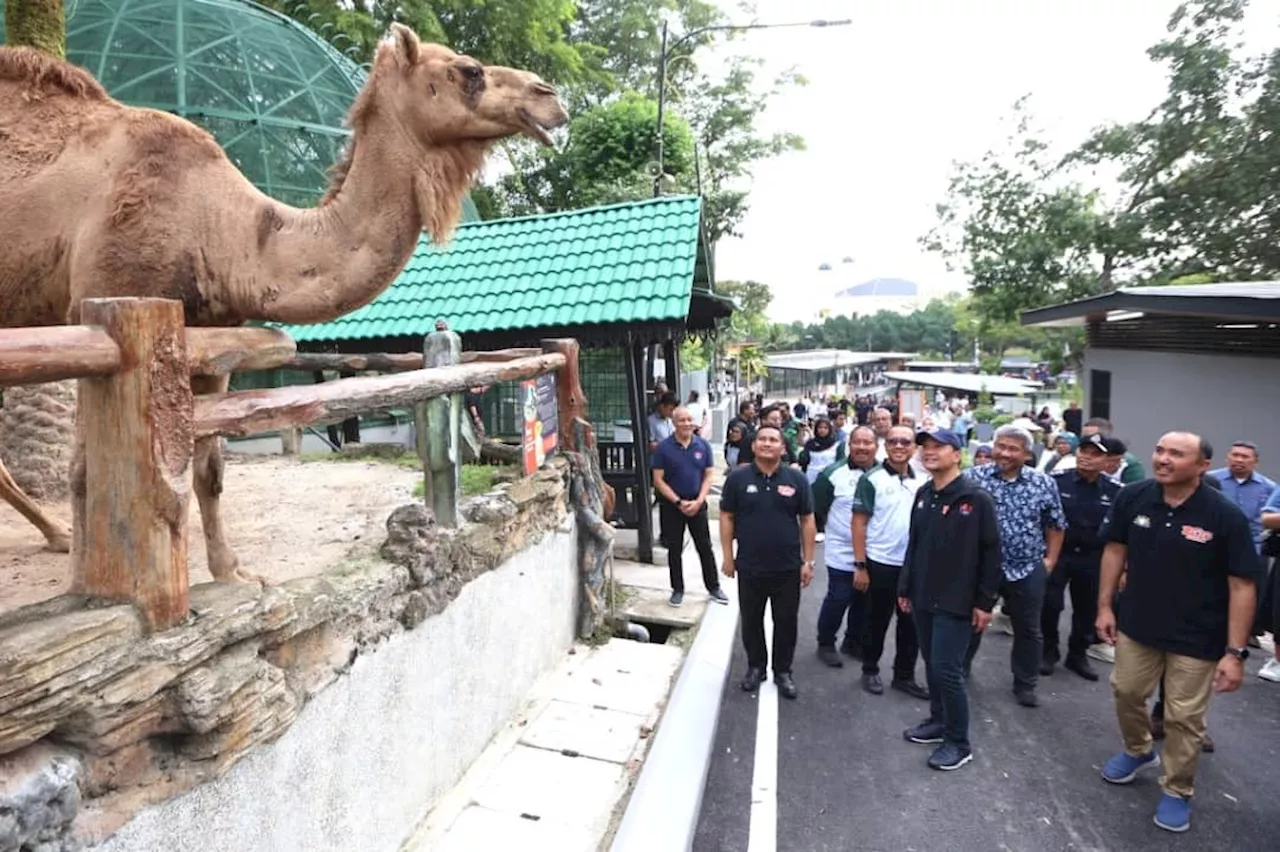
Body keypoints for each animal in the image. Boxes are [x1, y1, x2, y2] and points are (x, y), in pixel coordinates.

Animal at [0, 24, 565, 583]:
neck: (225, 230)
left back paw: (57, 535)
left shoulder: (212, 340)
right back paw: (63, 541)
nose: (550, 96)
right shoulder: (101, 318)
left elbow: (209, 466)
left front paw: (232, 572)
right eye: (468, 70)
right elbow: (84, 471)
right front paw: (84, 587)